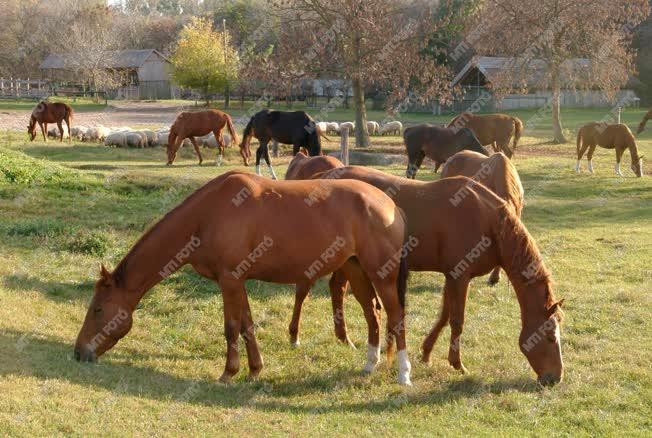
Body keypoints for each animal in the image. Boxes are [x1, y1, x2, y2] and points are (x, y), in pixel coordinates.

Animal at [74, 170, 412, 384]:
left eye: (98, 309)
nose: (78, 353)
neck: (206, 216)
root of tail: (390, 205)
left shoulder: (230, 280)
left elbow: (231, 327)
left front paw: (229, 372)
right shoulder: (239, 282)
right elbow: (247, 324)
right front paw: (254, 369)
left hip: (381, 275)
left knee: (395, 316)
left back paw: (404, 374)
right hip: (357, 270)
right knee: (372, 315)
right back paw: (369, 365)